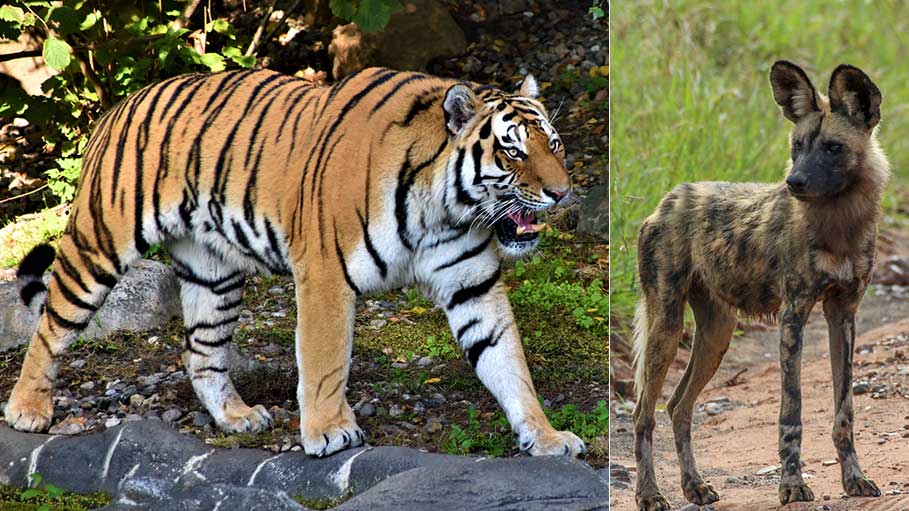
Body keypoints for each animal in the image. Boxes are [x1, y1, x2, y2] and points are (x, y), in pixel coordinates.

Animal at [5, 67, 586, 458]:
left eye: (555, 145)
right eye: (513, 152)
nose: (561, 193)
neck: (446, 208)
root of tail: (118, 106)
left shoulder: (473, 284)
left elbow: (508, 363)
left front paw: (546, 436)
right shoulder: (326, 274)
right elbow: (326, 362)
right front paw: (330, 431)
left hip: (214, 277)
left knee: (201, 353)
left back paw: (237, 417)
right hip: (99, 243)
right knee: (51, 325)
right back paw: (27, 410)